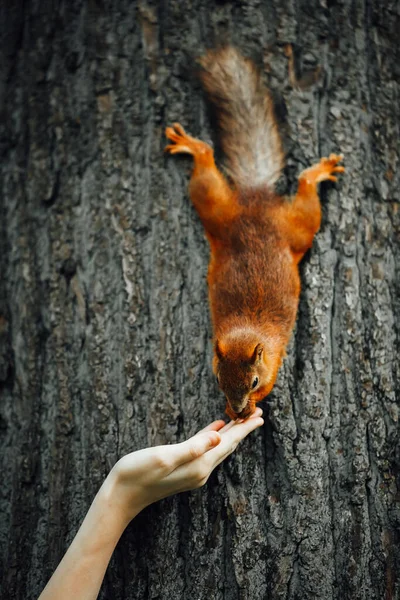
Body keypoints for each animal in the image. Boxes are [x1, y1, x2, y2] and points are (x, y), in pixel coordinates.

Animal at [164, 47, 346, 420]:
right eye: (218, 378)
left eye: (254, 381)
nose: (236, 409)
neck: (246, 331)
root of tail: (255, 199)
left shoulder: (274, 362)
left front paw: (247, 410)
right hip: (220, 211)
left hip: (292, 227)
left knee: (304, 193)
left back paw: (317, 171)